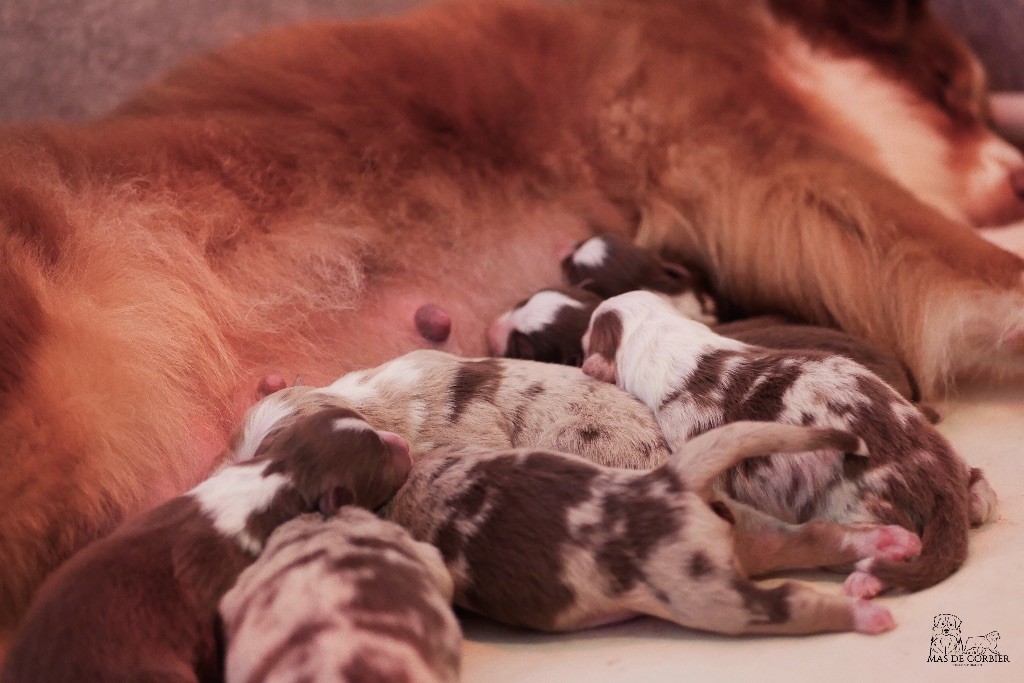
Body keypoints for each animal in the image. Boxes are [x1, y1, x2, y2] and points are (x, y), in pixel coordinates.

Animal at [389, 421, 897, 643]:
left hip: (711, 599)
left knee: (793, 600)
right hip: (754, 534)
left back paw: (868, 616)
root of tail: (668, 482)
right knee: (815, 536)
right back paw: (891, 542)